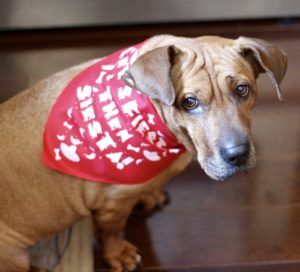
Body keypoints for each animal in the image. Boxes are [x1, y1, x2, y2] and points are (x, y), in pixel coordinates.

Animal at [0, 35, 286, 270]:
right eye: (189, 102)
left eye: (242, 89)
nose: (237, 155)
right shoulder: (111, 204)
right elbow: (111, 232)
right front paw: (118, 254)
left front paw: (150, 194)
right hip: (15, 256)